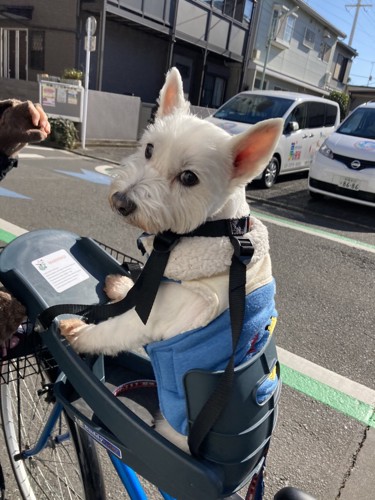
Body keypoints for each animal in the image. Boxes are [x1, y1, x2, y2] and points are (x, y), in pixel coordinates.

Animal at [59, 68, 282, 448]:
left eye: (189, 177)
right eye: (149, 149)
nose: (121, 201)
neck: (209, 231)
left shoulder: (152, 319)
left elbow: (112, 329)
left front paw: (79, 332)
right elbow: (134, 292)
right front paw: (121, 285)